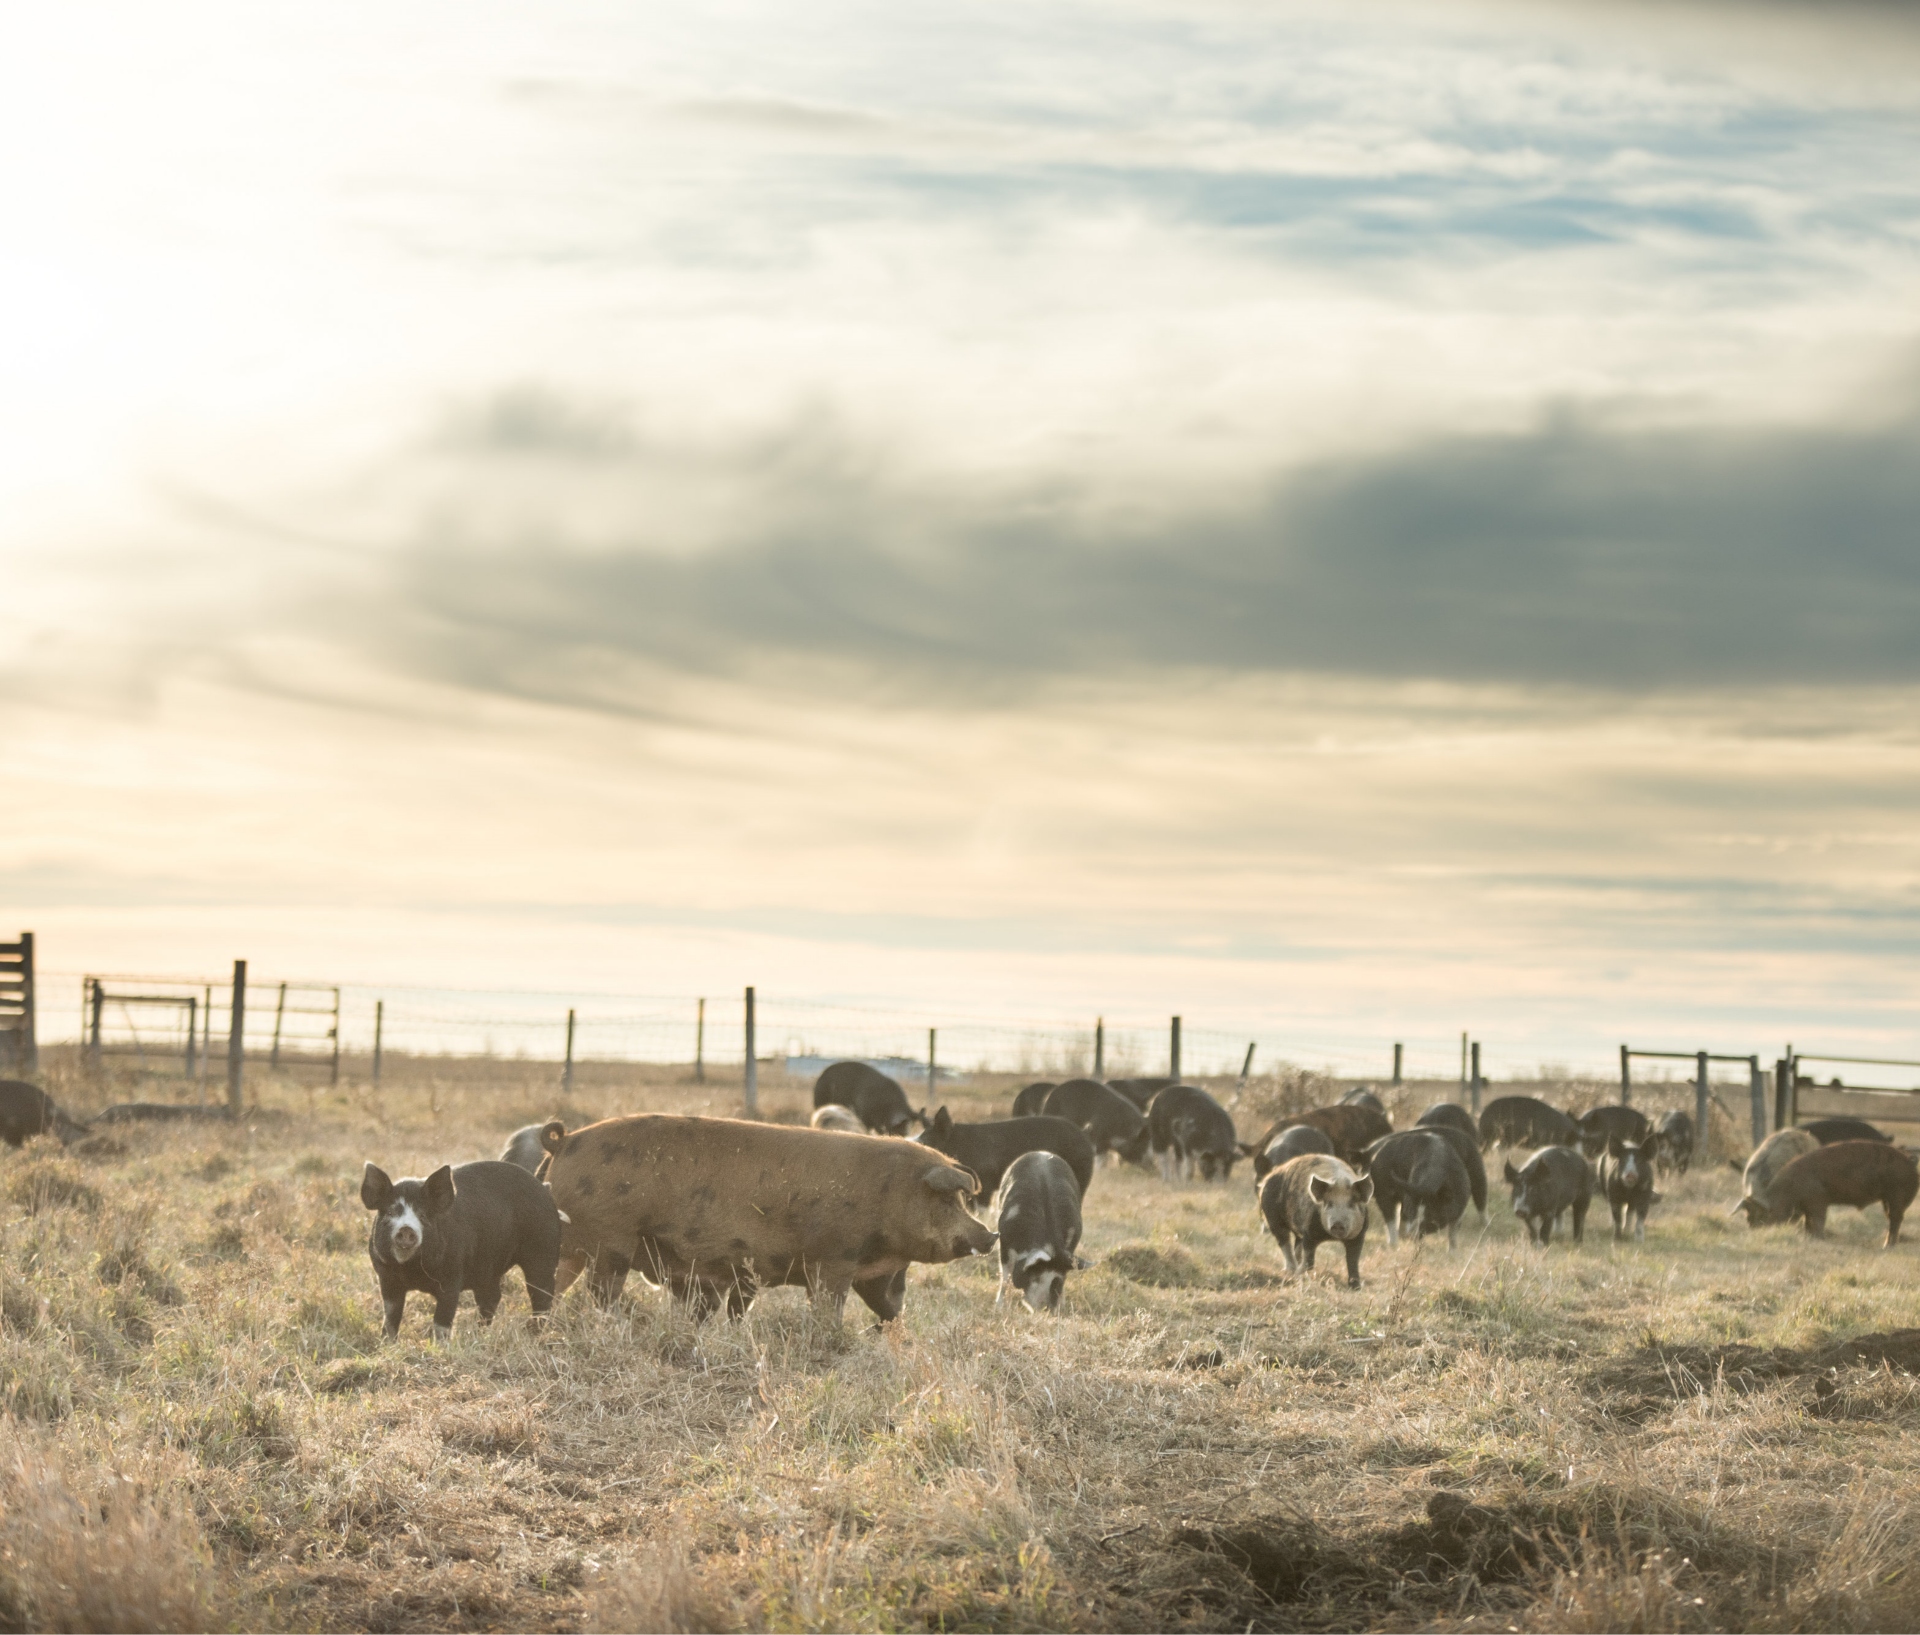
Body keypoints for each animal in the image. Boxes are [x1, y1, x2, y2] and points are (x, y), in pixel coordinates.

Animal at [541, 1120, 990, 1320]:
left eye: (962, 1200)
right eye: (948, 1200)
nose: (990, 1235)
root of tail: (565, 1140)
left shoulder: (875, 1273)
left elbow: (890, 1308)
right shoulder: (834, 1259)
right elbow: (829, 1306)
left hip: (572, 1245)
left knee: (554, 1283)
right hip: (610, 1242)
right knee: (601, 1291)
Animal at [990, 1151, 1082, 1312]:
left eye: (1057, 1280)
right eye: (1035, 1276)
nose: (1045, 1308)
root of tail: (1042, 1153)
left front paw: (1061, 1306)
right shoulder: (1005, 1242)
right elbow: (1006, 1275)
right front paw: (999, 1307)